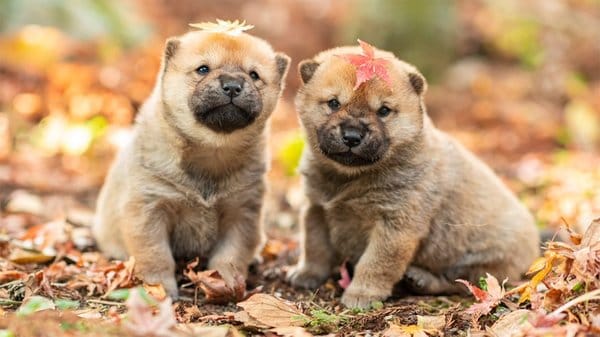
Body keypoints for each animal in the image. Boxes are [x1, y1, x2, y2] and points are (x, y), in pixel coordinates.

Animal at [92, 26, 290, 296]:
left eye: (254, 74)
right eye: (203, 69)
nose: (232, 85)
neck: (211, 151)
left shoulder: (241, 213)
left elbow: (231, 256)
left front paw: (226, 284)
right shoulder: (149, 209)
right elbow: (156, 255)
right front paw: (160, 289)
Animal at [286, 44, 540, 308]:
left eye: (384, 111)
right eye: (334, 103)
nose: (352, 136)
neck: (349, 178)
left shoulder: (396, 225)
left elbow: (376, 263)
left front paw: (361, 294)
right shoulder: (316, 208)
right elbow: (314, 246)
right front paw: (306, 274)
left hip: (482, 260)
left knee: (461, 282)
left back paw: (421, 279)